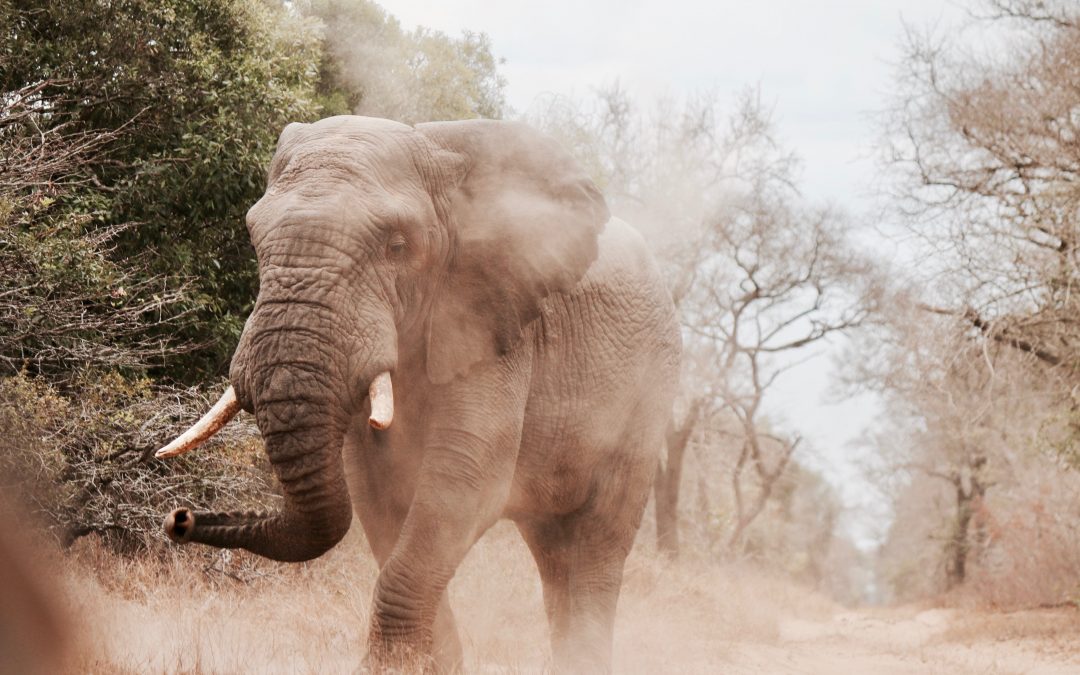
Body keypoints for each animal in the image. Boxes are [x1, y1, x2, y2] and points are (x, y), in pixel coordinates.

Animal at [155, 115, 681, 673]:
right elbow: (377, 496)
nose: (179, 517)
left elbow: (464, 481)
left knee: (597, 543)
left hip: (648, 391)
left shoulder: (494, 326)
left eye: (398, 247)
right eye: (254, 238)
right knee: (554, 549)